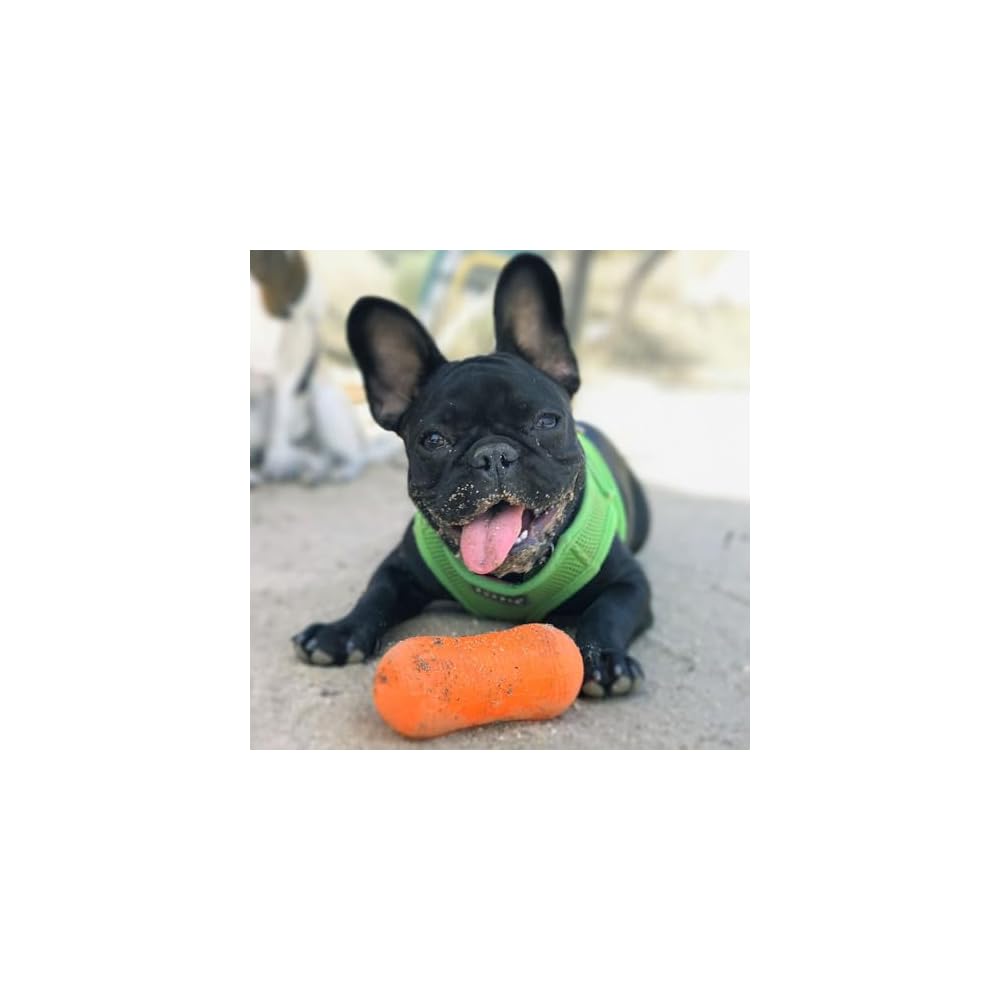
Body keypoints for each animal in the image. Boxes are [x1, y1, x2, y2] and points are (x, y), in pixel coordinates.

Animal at [292, 253, 651, 697]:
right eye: (433, 440)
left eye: (547, 421)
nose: (493, 454)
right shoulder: (400, 569)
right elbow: (374, 595)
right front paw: (340, 632)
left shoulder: (630, 583)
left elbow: (608, 611)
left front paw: (604, 658)